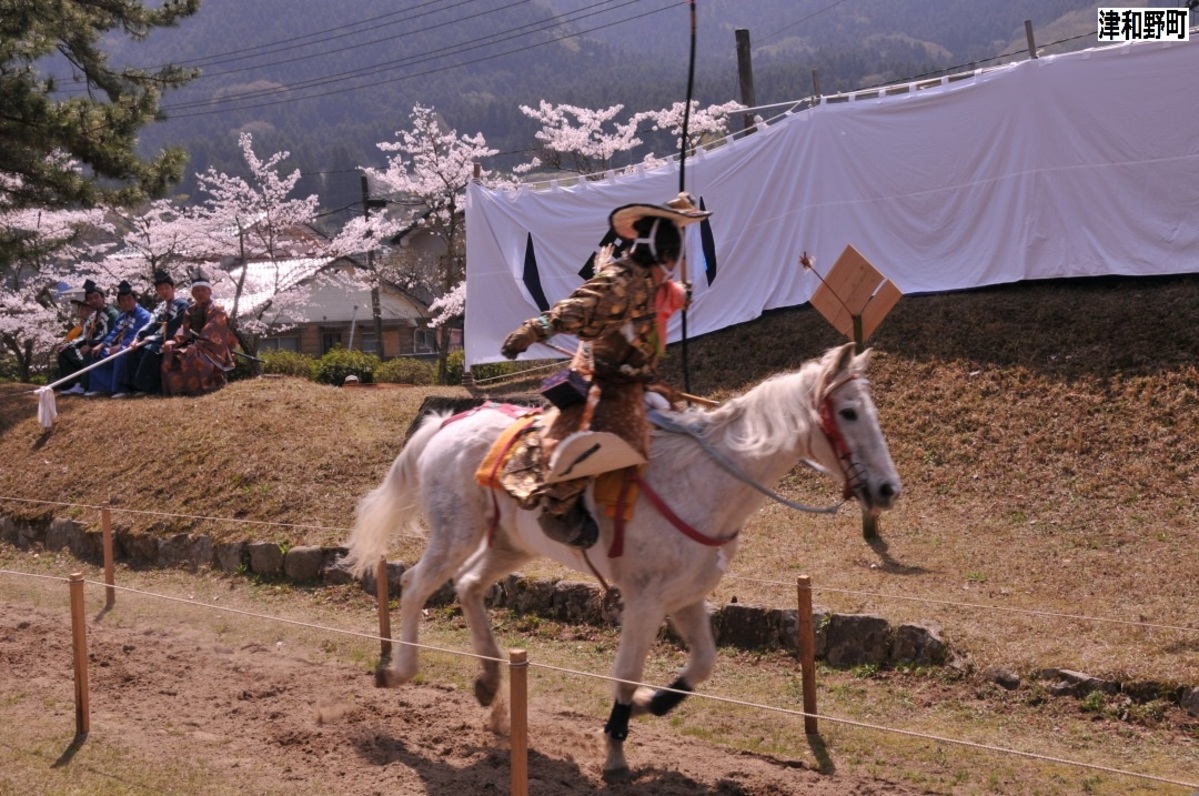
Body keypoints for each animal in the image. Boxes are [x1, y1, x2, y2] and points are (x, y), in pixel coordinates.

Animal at [342, 342, 896, 776]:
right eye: (848, 413)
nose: (889, 489)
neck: (705, 481)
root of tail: (448, 421)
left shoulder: (686, 597)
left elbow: (704, 663)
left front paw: (654, 703)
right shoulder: (645, 600)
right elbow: (627, 672)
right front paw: (614, 751)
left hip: (508, 543)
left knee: (469, 585)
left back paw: (490, 685)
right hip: (455, 533)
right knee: (416, 584)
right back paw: (398, 670)